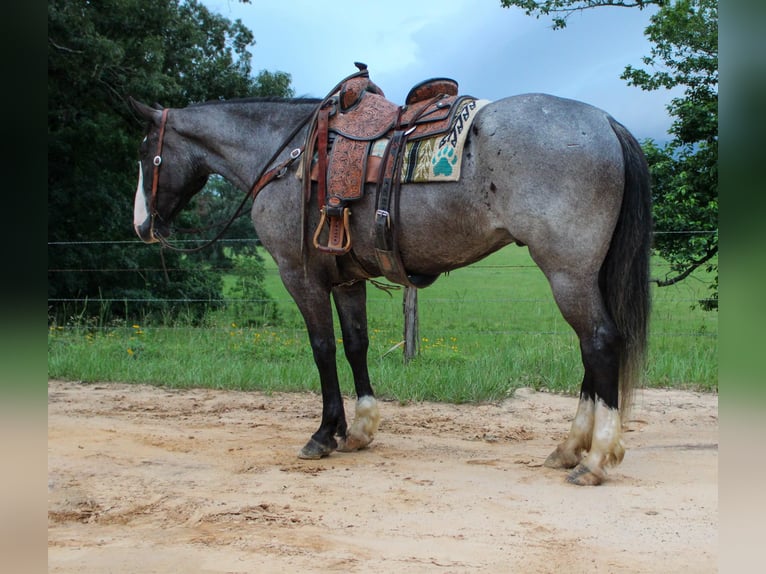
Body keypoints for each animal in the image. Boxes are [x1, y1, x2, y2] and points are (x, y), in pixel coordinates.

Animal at [132, 73, 656, 486]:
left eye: (146, 153)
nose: (141, 225)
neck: (291, 155)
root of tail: (606, 122)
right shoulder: (347, 279)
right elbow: (355, 344)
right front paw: (360, 429)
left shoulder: (300, 276)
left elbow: (322, 348)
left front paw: (323, 434)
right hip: (585, 274)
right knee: (591, 350)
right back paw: (569, 449)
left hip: (568, 273)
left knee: (600, 343)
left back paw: (595, 458)